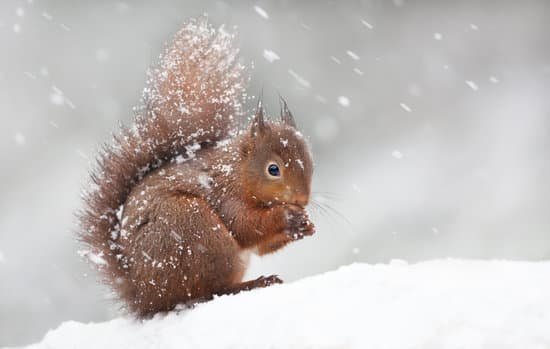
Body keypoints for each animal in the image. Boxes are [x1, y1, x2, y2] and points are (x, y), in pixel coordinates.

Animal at [80, 17, 316, 316]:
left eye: (311, 162)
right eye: (273, 169)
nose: (302, 200)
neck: (237, 172)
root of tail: (145, 297)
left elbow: (262, 246)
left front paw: (305, 224)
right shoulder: (225, 194)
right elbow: (245, 226)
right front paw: (287, 217)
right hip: (197, 231)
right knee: (210, 291)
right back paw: (254, 283)